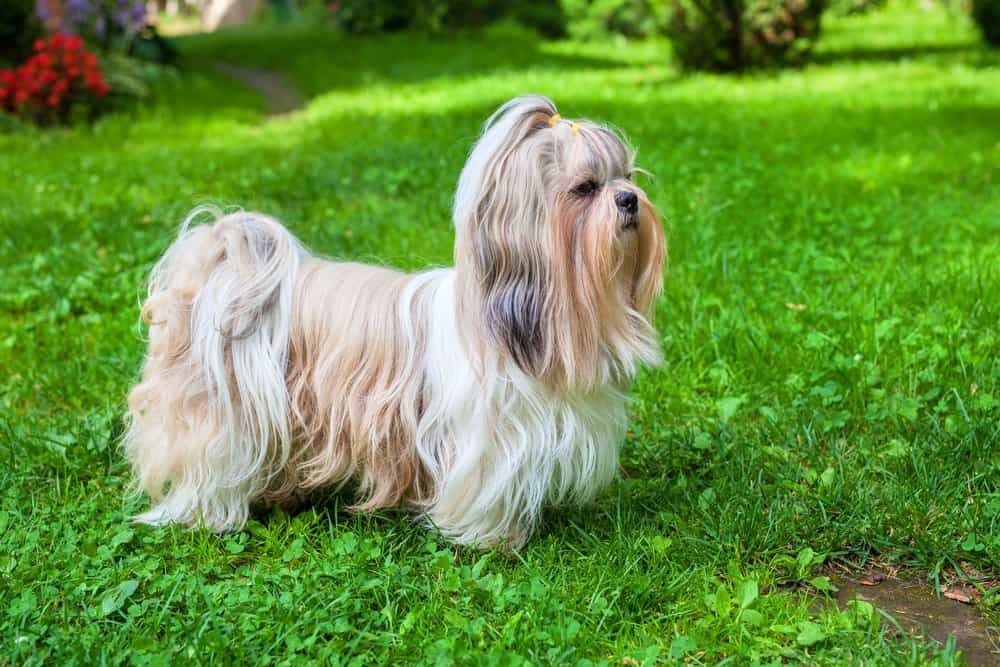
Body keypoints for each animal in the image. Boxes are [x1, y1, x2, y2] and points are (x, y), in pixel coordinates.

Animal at [129, 94, 668, 548]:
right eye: (586, 188)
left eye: (628, 175)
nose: (629, 199)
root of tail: (220, 271)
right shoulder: (485, 443)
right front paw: (490, 539)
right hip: (220, 416)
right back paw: (208, 515)